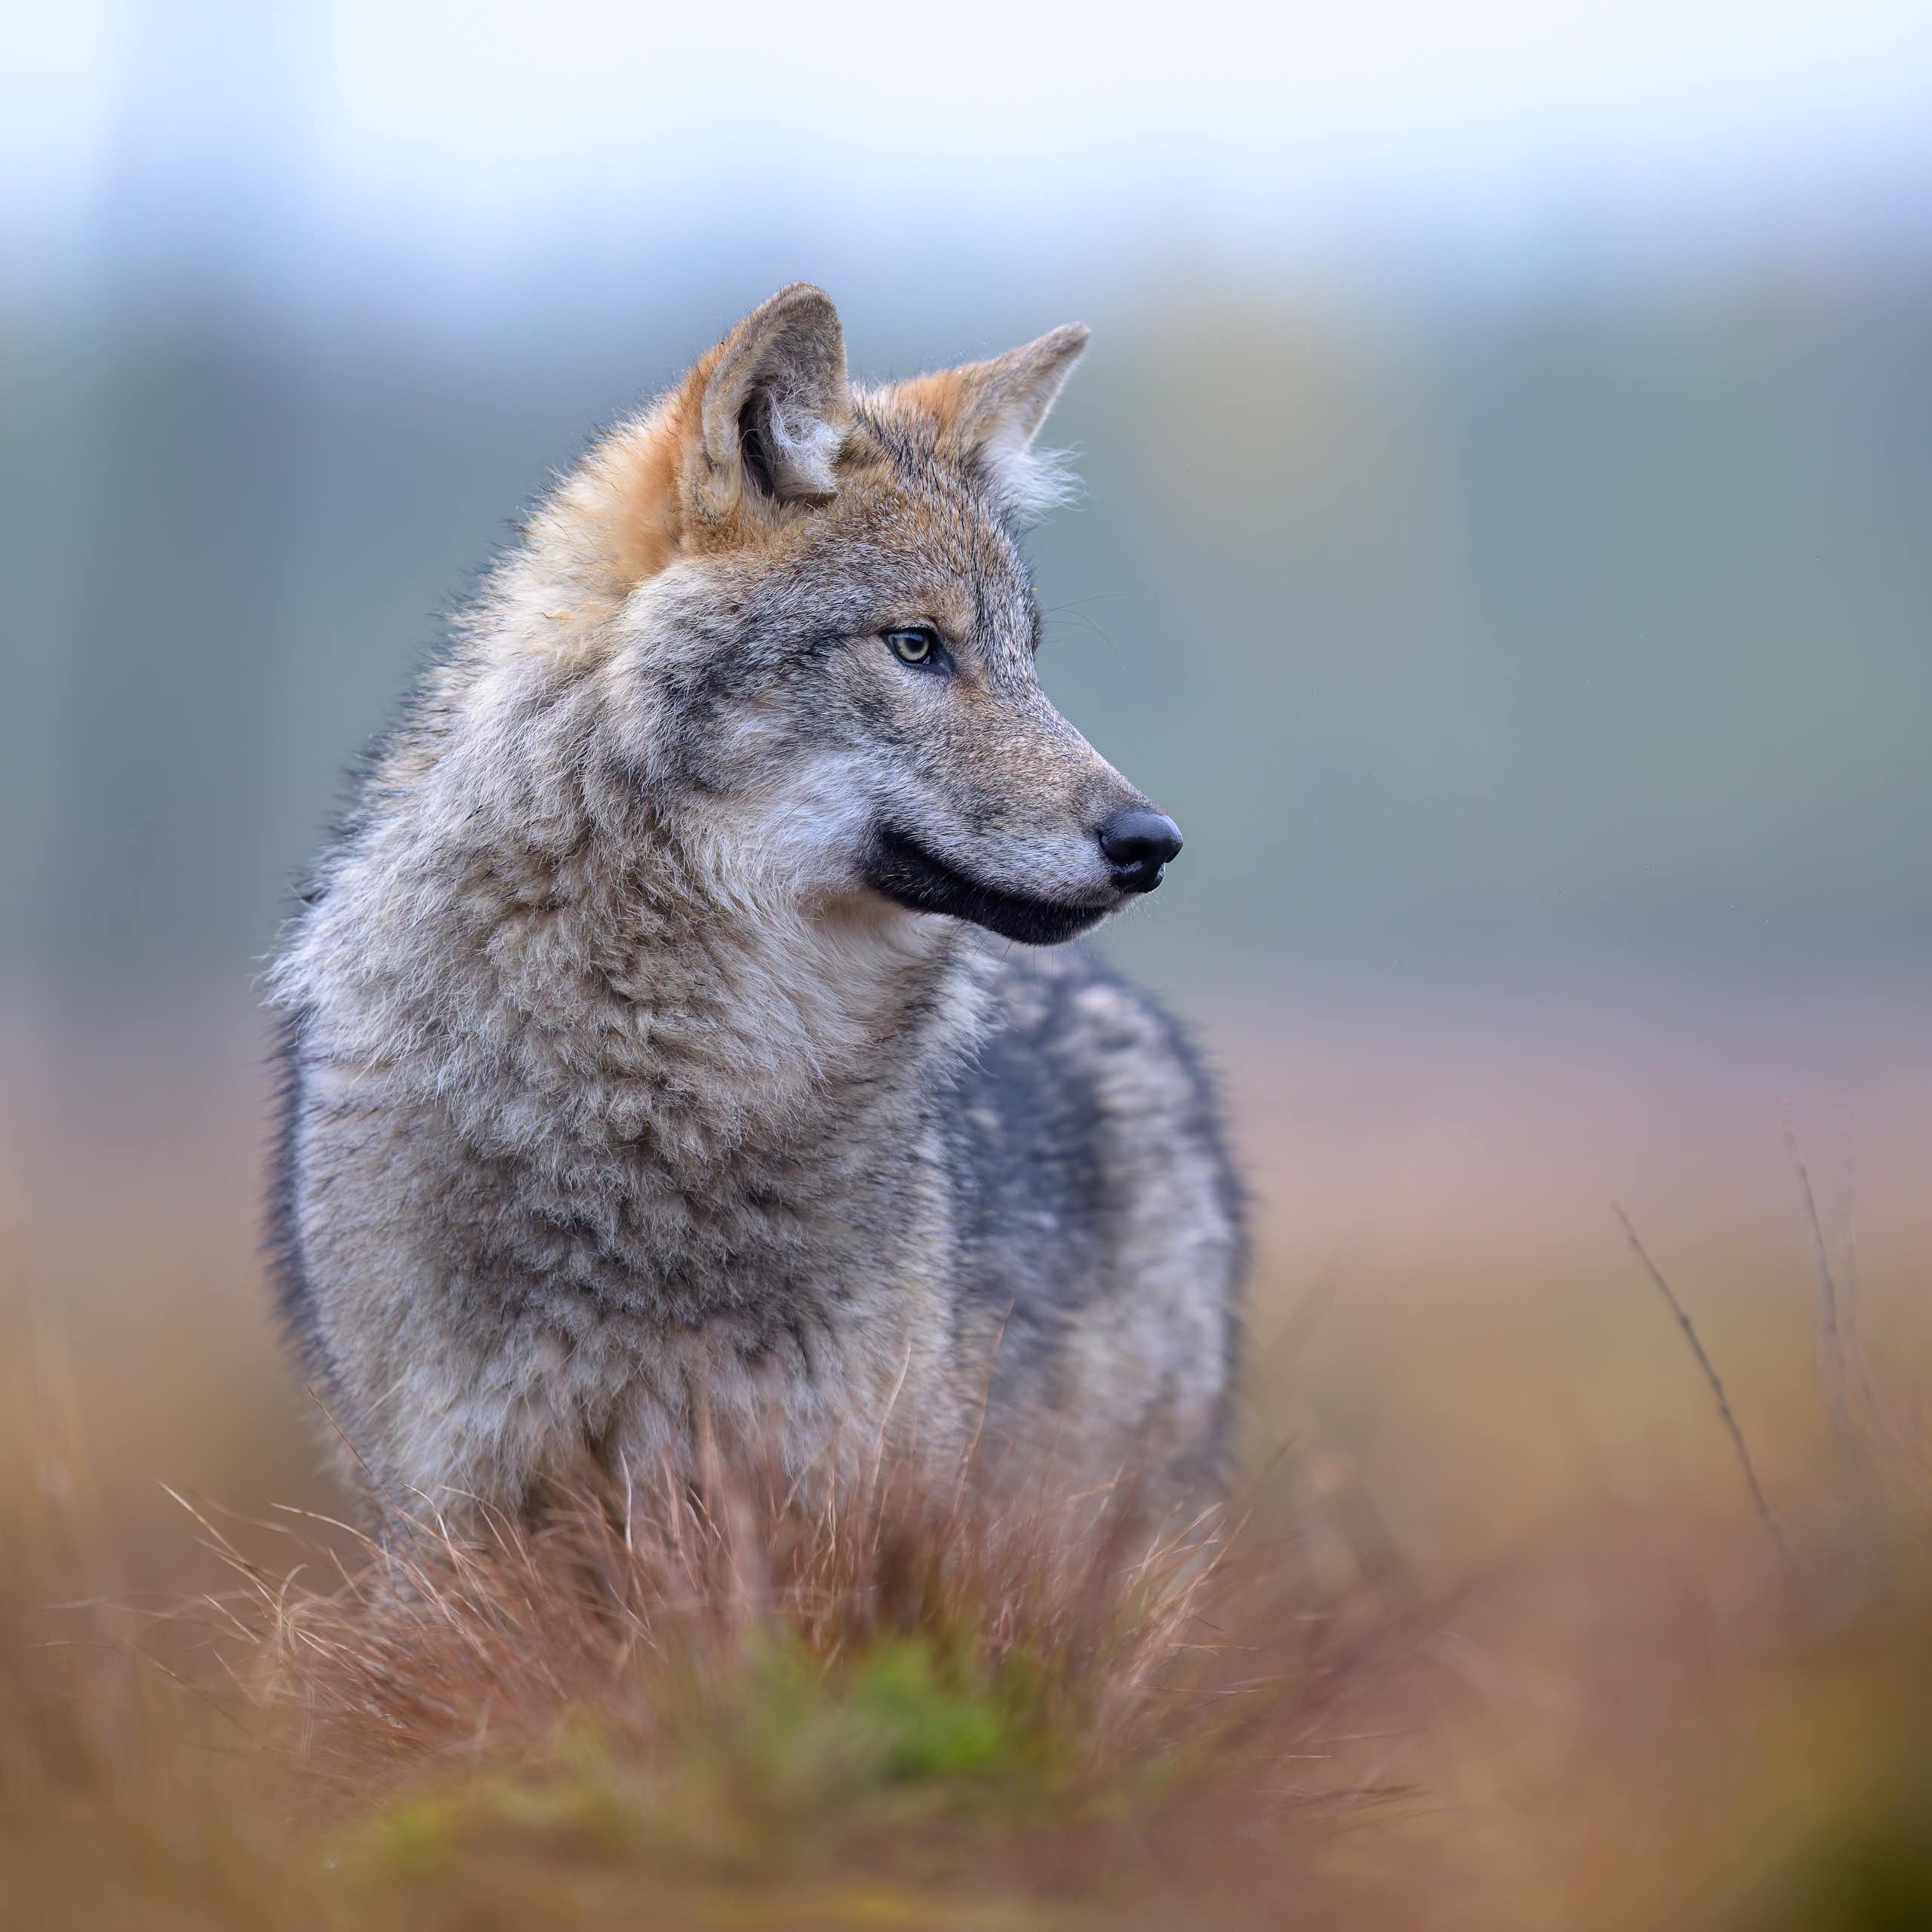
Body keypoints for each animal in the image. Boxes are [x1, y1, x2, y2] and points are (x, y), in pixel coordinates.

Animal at [269, 285, 1243, 1523]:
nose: (1150, 842)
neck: (666, 1091)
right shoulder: (452, 1504)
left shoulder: (837, 1486)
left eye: (1028, 657)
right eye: (917, 644)